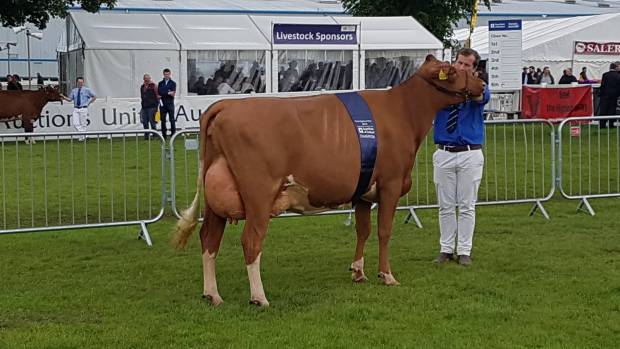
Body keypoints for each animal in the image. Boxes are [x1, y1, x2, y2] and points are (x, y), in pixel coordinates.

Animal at [172, 54, 486, 304]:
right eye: (455, 70)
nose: (482, 84)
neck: (402, 111)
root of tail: (225, 105)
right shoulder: (391, 184)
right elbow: (384, 231)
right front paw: (387, 275)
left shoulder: (363, 190)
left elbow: (363, 230)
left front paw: (358, 272)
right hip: (259, 192)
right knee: (250, 240)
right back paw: (259, 297)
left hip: (217, 195)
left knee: (209, 238)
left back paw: (212, 295)